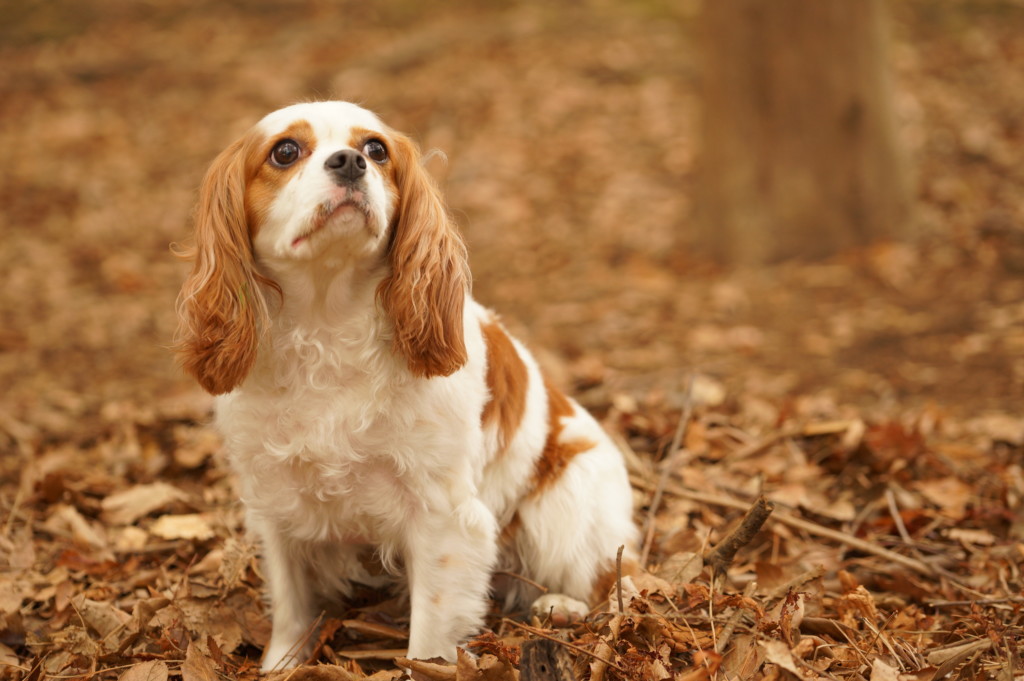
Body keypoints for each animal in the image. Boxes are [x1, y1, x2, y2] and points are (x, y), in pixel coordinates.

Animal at [177, 100, 638, 667]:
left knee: (614, 578)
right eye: (284, 151)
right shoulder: (275, 501)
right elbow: (290, 606)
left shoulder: (444, 516)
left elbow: (429, 640)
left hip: (563, 507)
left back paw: (564, 606)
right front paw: (281, 665)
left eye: (376, 149)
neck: (326, 322)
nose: (350, 161)